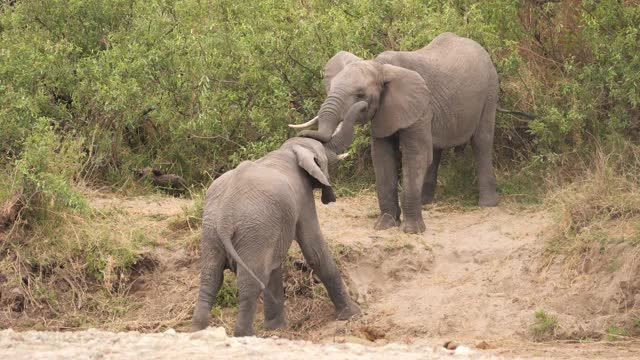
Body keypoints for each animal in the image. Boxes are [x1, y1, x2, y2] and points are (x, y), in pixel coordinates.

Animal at [190, 100, 368, 334]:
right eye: (324, 157)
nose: (366, 105)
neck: (289, 151)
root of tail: (225, 217)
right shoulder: (303, 197)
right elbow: (314, 249)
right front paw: (352, 314)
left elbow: (275, 265)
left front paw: (276, 328)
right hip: (252, 231)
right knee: (250, 283)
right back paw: (244, 335)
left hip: (213, 229)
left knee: (210, 278)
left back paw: (197, 330)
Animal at [294, 32, 500, 235]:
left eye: (361, 94)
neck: (380, 66)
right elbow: (382, 158)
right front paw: (385, 224)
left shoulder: (419, 105)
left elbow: (415, 155)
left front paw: (412, 231)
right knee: (435, 149)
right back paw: (426, 201)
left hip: (490, 90)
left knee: (481, 141)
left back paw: (487, 204)